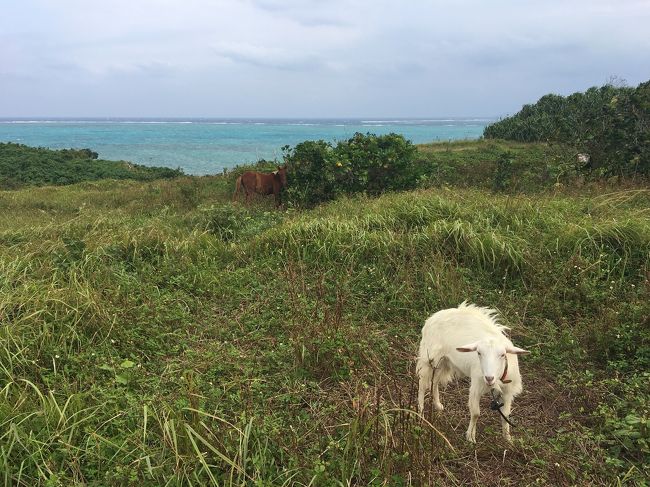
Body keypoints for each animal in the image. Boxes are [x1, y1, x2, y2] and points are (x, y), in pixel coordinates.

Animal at [416, 302, 528, 442]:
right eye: (478, 353)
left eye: (503, 355)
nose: (489, 378)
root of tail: (433, 317)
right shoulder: (476, 386)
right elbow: (475, 413)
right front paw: (470, 437)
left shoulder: (508, 391)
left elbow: (505, 415)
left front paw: (507, 438)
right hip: (429, 357)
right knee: (422, 384)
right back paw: (420, 413)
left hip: (443, 362)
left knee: (434, 382)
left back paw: (437, 405)